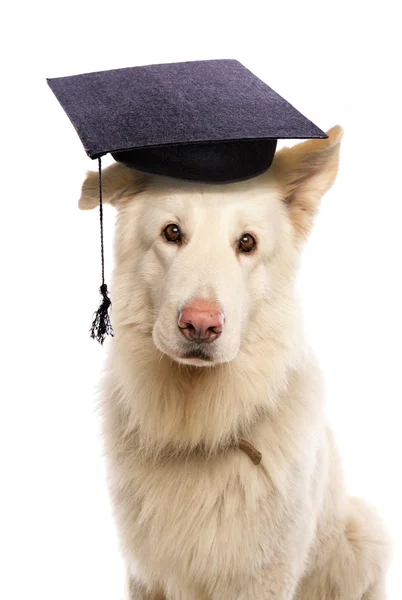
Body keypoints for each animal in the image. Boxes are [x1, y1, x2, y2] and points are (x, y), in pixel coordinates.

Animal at [80, 124, 392, 596]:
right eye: (172, 233)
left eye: (247, 243)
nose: (200, 325)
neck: (199, 425)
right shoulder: (146, 573)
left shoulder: (263, 577)